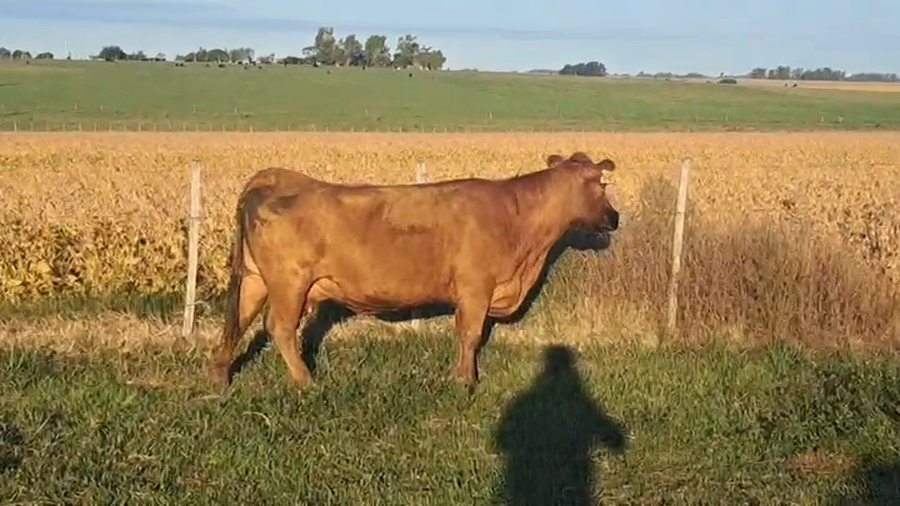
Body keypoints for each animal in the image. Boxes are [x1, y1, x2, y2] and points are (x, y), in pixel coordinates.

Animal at [210, 151, 620, 393]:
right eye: (602, 185)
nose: (616, 217)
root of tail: (274, 177)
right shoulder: (475, 287)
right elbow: (470, 335)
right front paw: (465, 382)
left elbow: (464, 334)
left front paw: (460, 376)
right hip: (289, 281)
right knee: (278, 327)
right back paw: (306, 381)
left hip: (254, 279)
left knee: (236, 324)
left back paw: (220, 380)